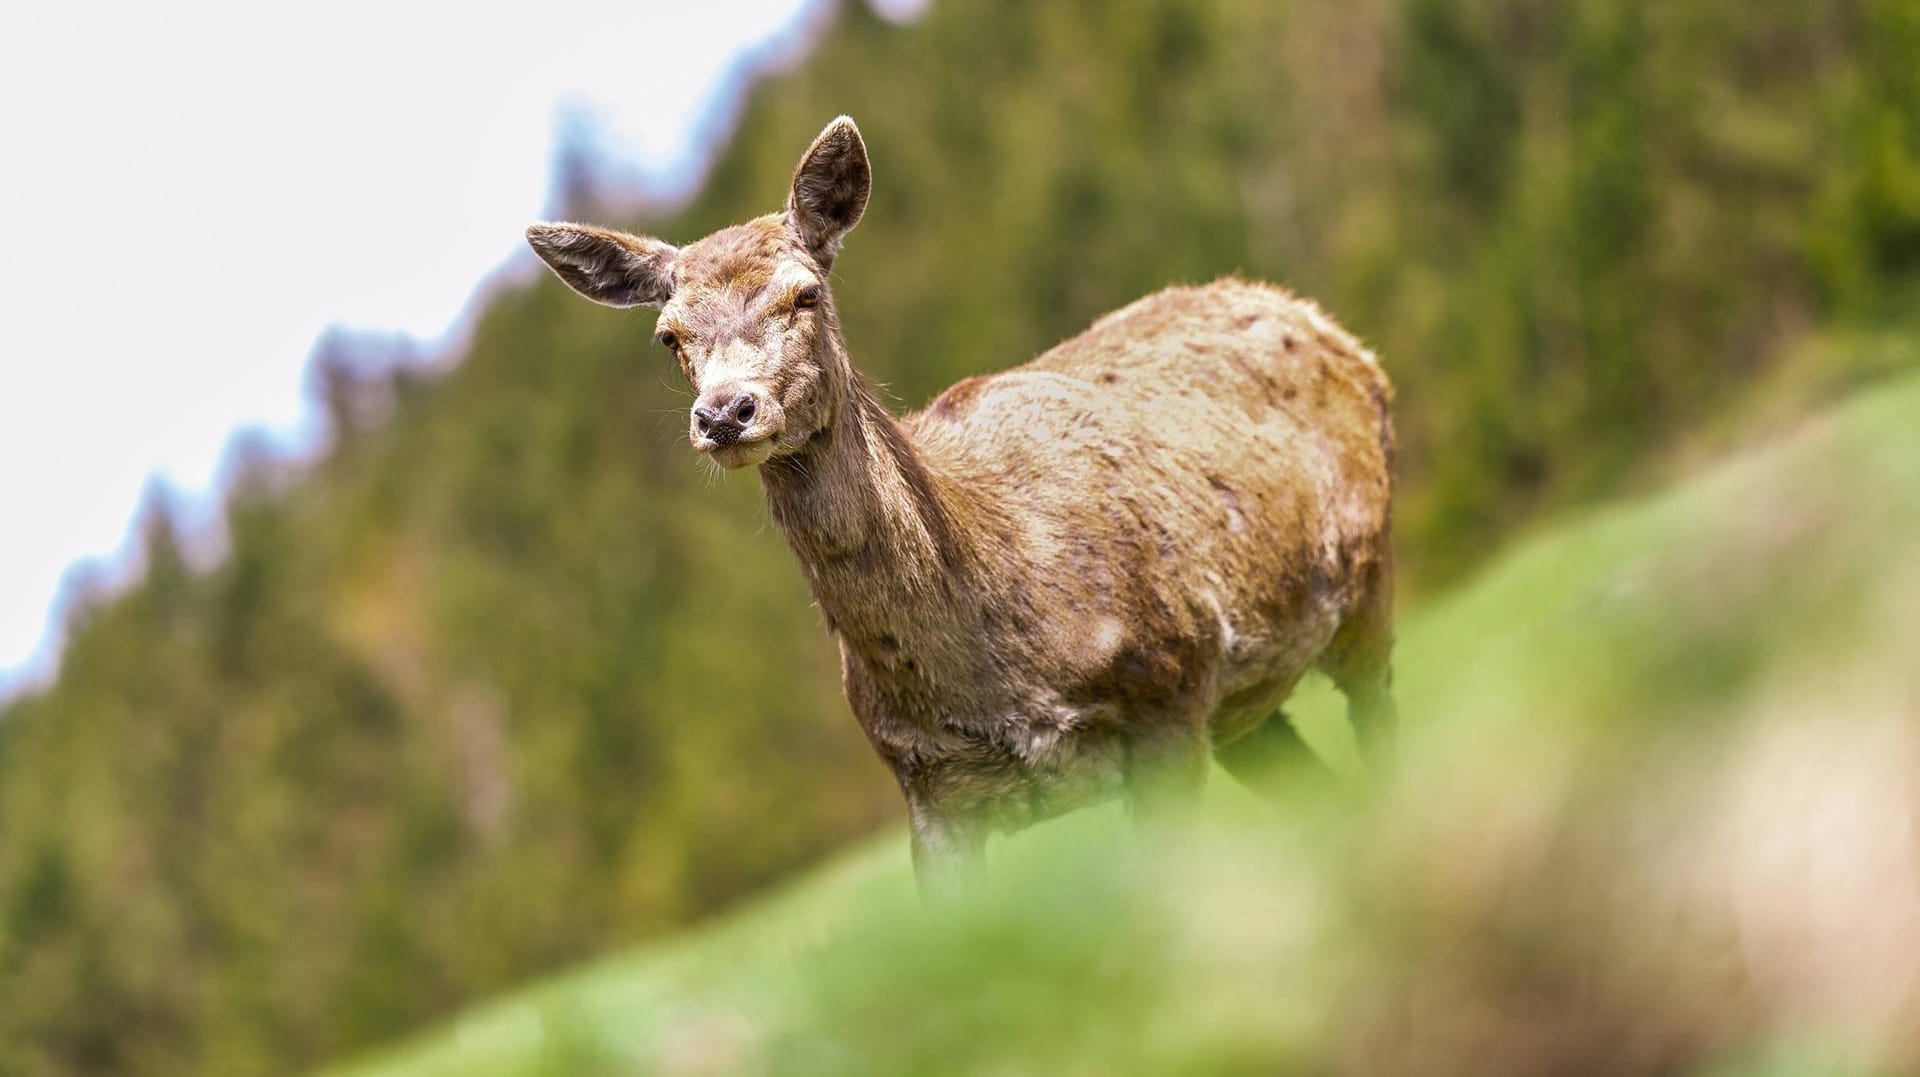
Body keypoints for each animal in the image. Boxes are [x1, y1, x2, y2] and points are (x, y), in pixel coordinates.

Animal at [526, 115, 1397, 890]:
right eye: (669, 335)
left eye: (804, 294)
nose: (726, 413)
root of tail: (1324, 323)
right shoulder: (929, 790)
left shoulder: (1168, 688)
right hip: (1246, 707)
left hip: (1363, 576)